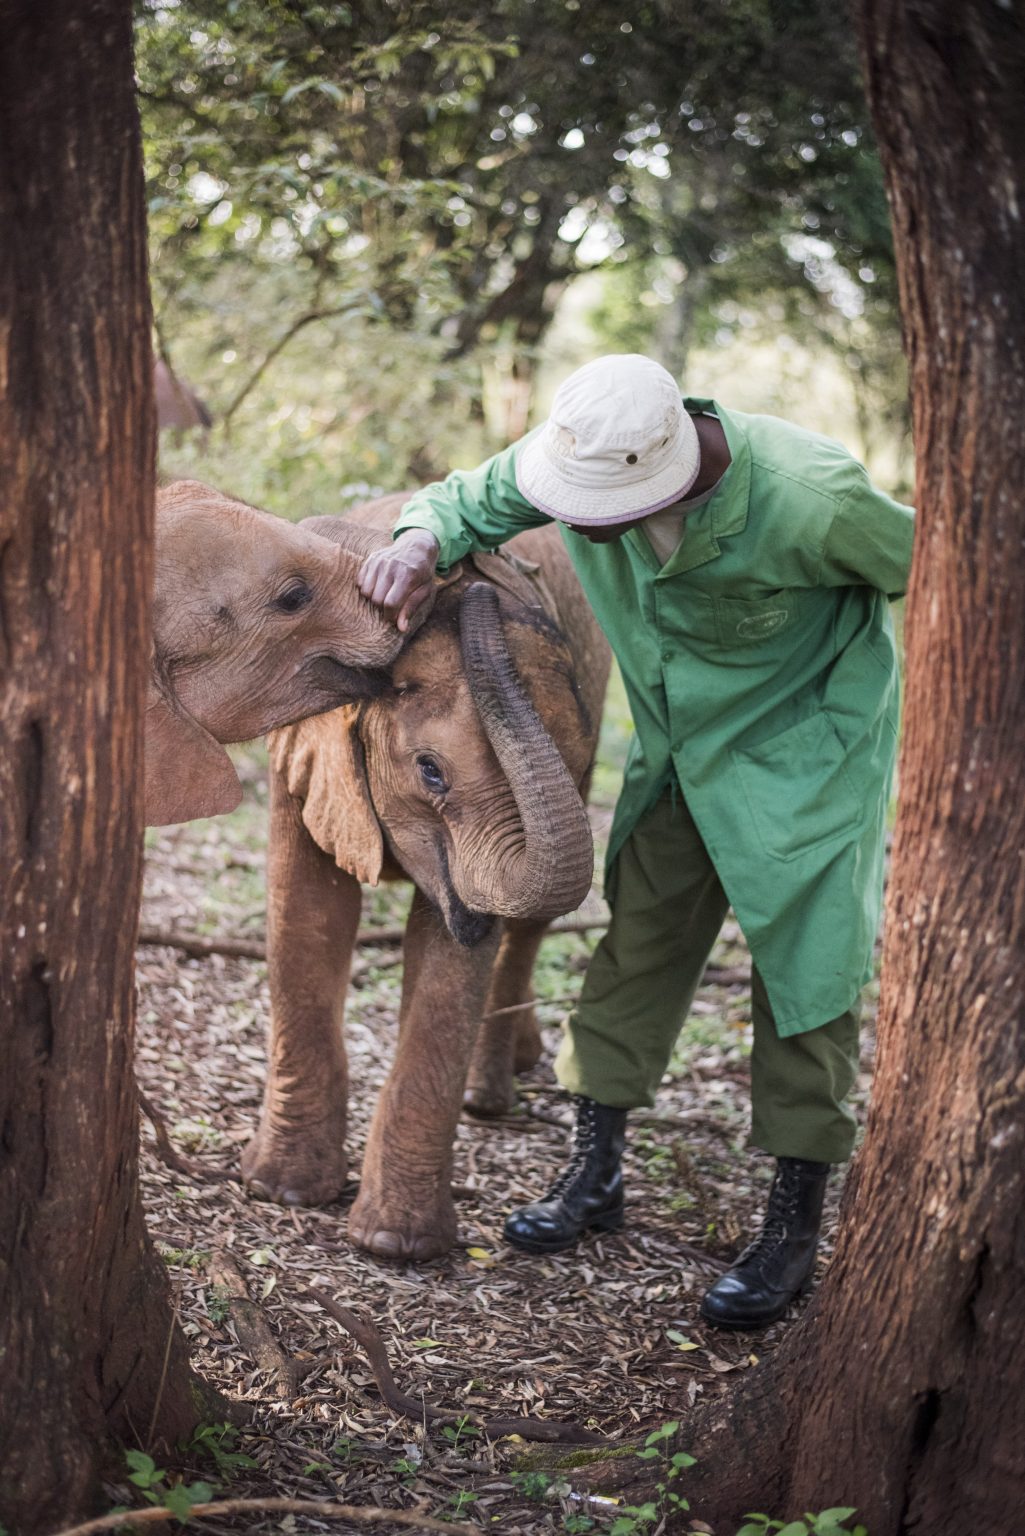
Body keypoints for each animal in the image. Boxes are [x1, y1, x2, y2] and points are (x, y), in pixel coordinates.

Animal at [242, 493, 612, 1260]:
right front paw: (281, 1192)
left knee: (529, 930)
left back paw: (488, 1097)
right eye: (431, 771)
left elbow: (451, 965)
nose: (476, 591)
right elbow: (308, 912)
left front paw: (396, 1246)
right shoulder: (301, 741)